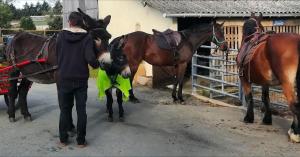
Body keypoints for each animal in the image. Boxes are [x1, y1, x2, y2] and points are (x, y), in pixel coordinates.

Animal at [239, 13, 300, 142]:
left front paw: (249, 118)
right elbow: (265, 98)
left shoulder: (244, 80)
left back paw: (295, 134)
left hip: (287, 83)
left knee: (294, 105)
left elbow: (249, 97)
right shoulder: (265, 82)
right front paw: (267, 119)